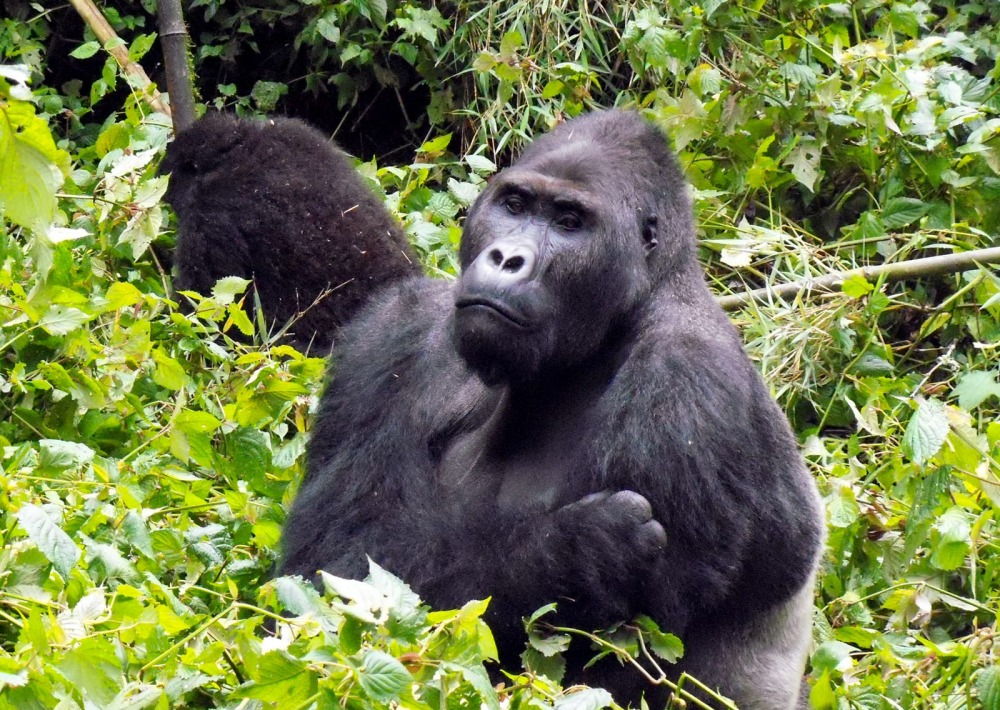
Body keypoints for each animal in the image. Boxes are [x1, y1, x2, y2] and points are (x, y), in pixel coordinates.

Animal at [278, 112, 824, 710]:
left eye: (569, 222)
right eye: (515, 206)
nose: (507, 258)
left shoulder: (687, 388)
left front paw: (580, 555)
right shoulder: (394, 330)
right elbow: (332, 567)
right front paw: (578, 550)